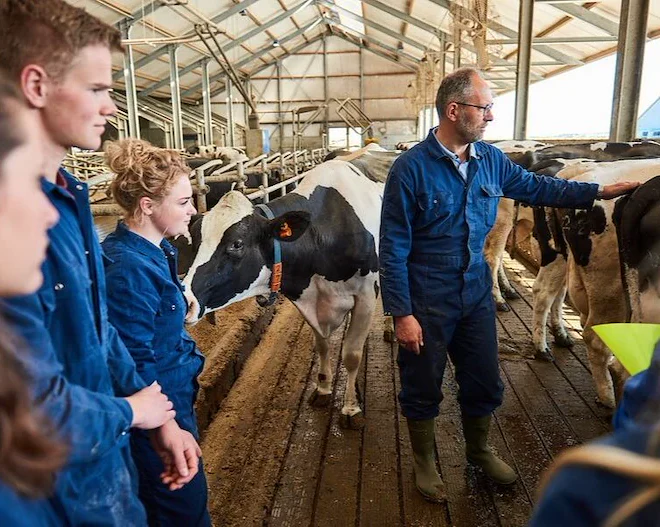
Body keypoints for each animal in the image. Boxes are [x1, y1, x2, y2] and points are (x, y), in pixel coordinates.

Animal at [183, 160, 384, 428]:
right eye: (195, 240)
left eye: (237, 244)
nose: (186, 300)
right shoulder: (310, 299)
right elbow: (321, 344)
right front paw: (323, 388)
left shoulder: (366, 296)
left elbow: (352, 354)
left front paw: (351, 409)